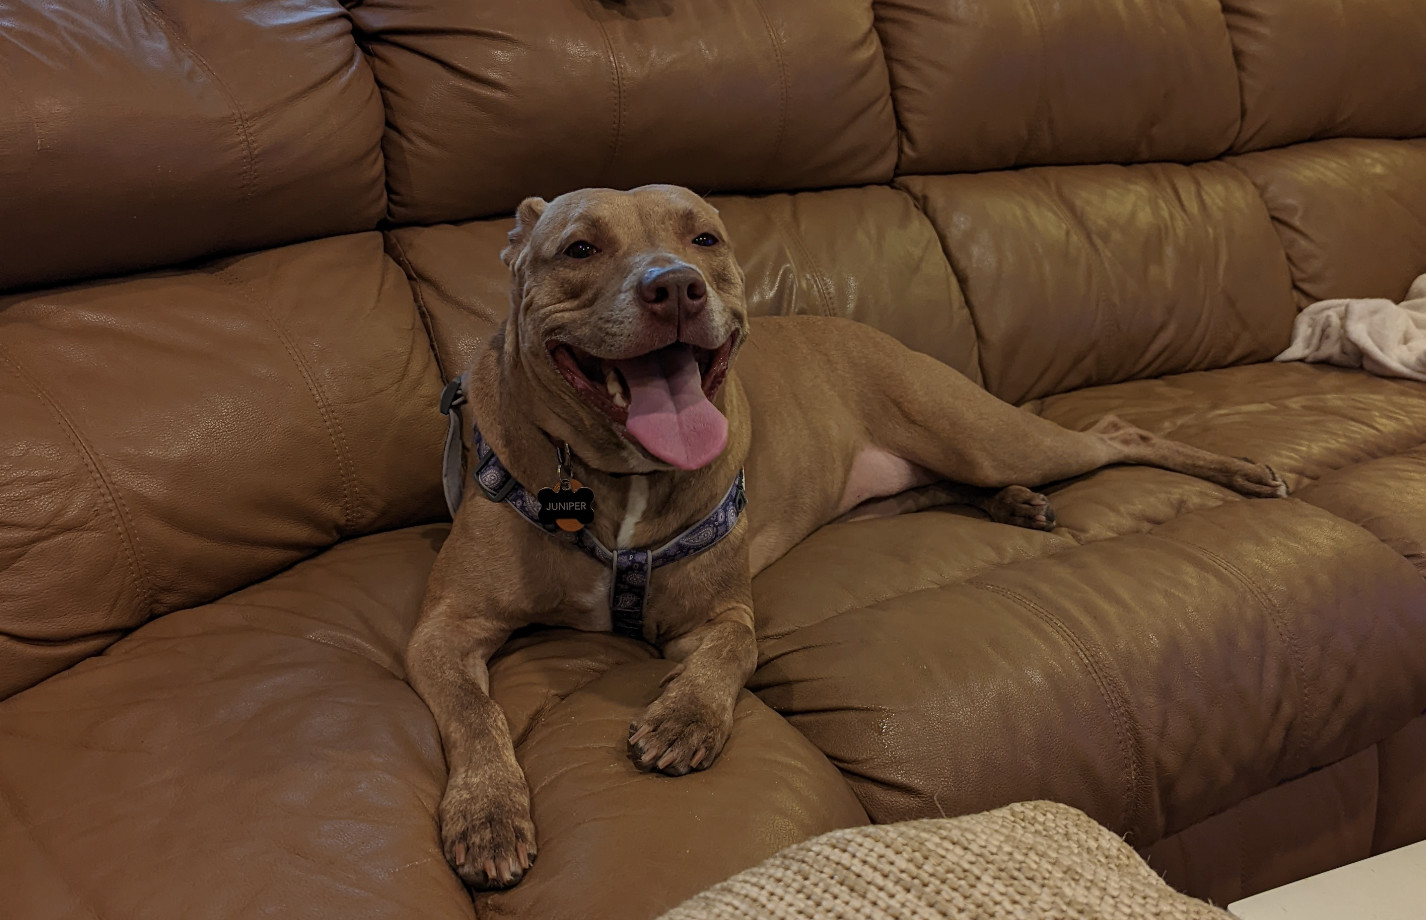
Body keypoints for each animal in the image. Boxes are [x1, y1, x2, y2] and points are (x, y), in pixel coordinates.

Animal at [404, 182, 1294, 884]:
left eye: (704, 238)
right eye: (580, 248)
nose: (677, 288)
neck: (615, 477)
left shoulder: (720, 615)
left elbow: (730, 655)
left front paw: (686, 718)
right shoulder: (445, 630)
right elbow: (476, 715)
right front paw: (488, 811)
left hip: (985, 433)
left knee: (1115, 431)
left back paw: (1242, 473)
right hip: (902, 483)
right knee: (968, 480)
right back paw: (1017, 504)